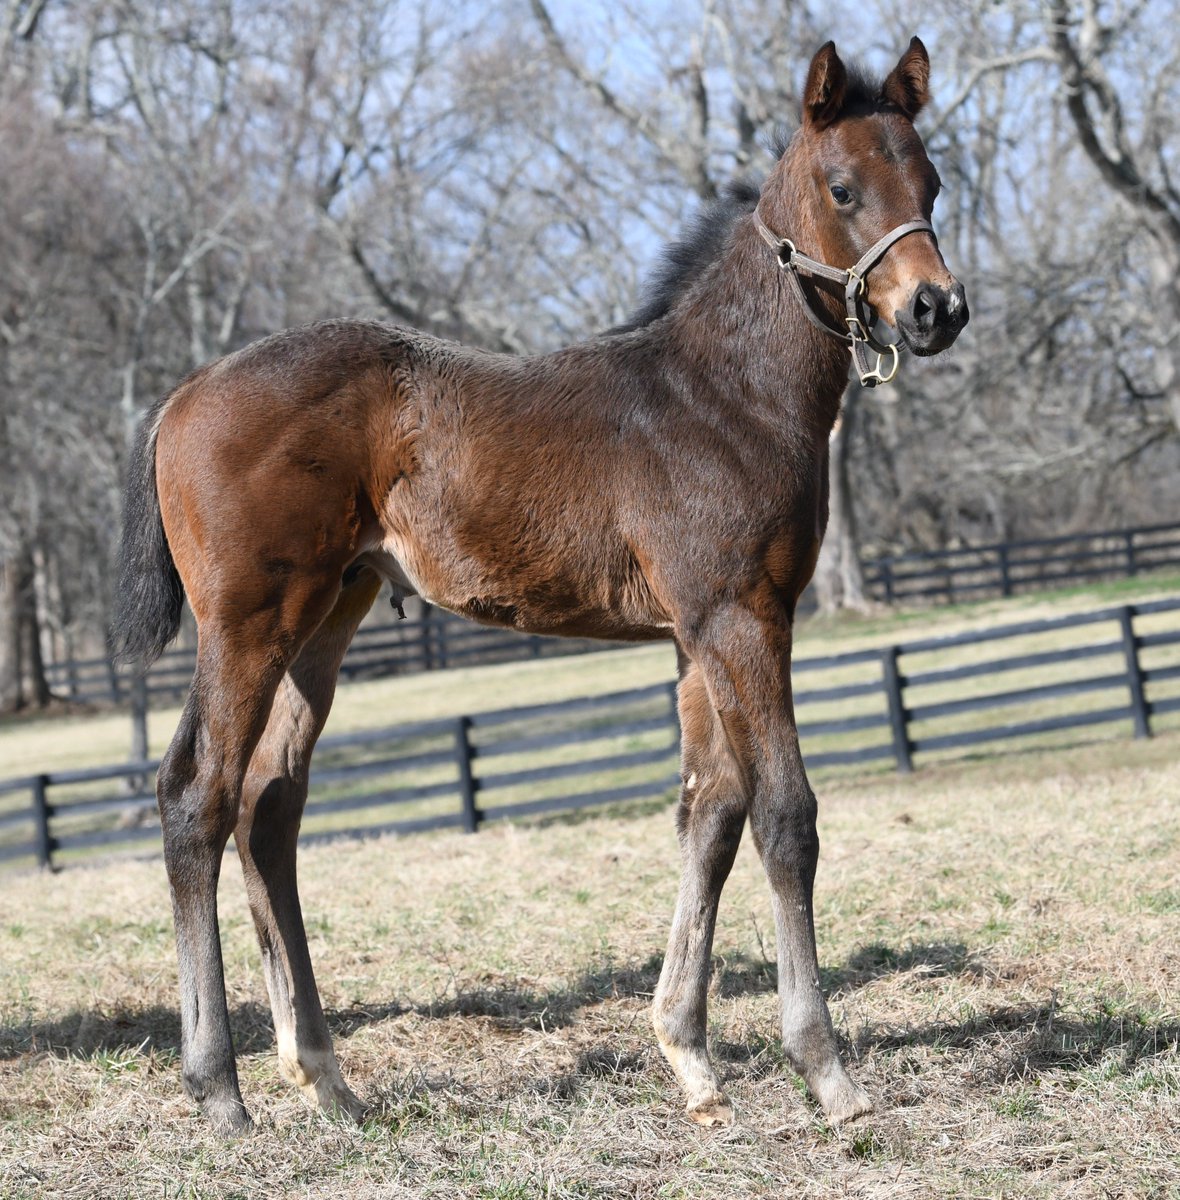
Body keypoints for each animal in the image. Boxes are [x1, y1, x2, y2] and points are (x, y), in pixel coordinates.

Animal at [112, 38, 967, 1135]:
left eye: (931, 182)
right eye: (844, 188)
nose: (936, 309)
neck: (721, 395)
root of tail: (182, 396)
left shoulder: (696, 635)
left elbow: (709, 816)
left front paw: (690, 1057)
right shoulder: (742, 617)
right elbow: (784, 817)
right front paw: (828, 1071)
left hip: (327, 619)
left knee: (269, 809)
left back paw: (328, 1077)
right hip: (247, 623)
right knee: (197, 797)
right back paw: (219, 1089)